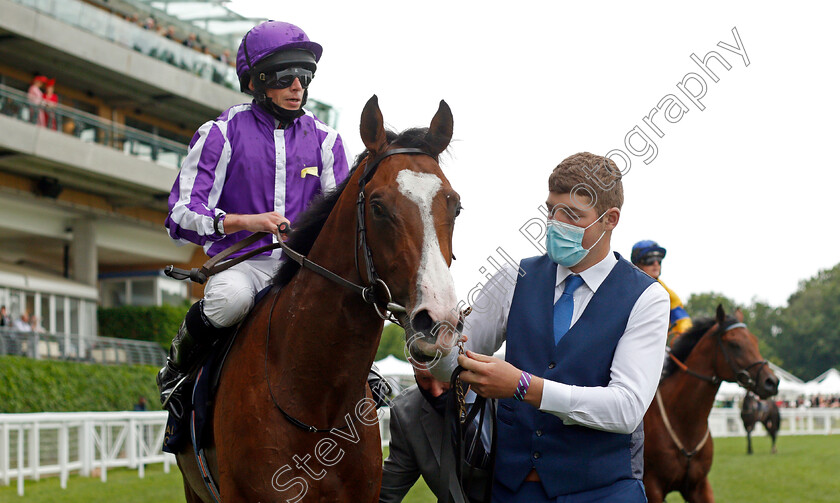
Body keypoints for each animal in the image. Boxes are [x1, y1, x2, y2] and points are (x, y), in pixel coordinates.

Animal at [644, 306, 780, 502]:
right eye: (734, 344)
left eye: (754, 340)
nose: (771, 382)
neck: (683, 421)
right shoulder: (652, 487)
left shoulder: (699, 486)